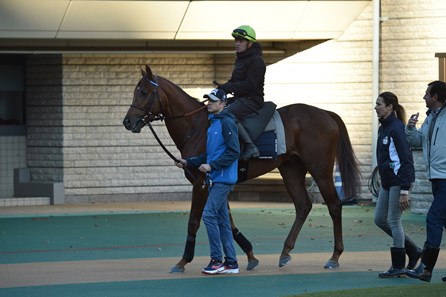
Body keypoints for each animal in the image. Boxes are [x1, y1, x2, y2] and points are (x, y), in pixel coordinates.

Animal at [123, 64, 360, 270]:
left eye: (144, 92)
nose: (127, 122)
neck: (198, 127)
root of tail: (325, 113)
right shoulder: (215, 183)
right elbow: (227, 220)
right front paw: (249, 255)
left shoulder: (201, 183)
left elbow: (194, 221)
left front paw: (183, 261)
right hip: (291, 169)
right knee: (303, 205)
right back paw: (285, 252)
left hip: (320, 171)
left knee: (334, 205)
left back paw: (334, 256)